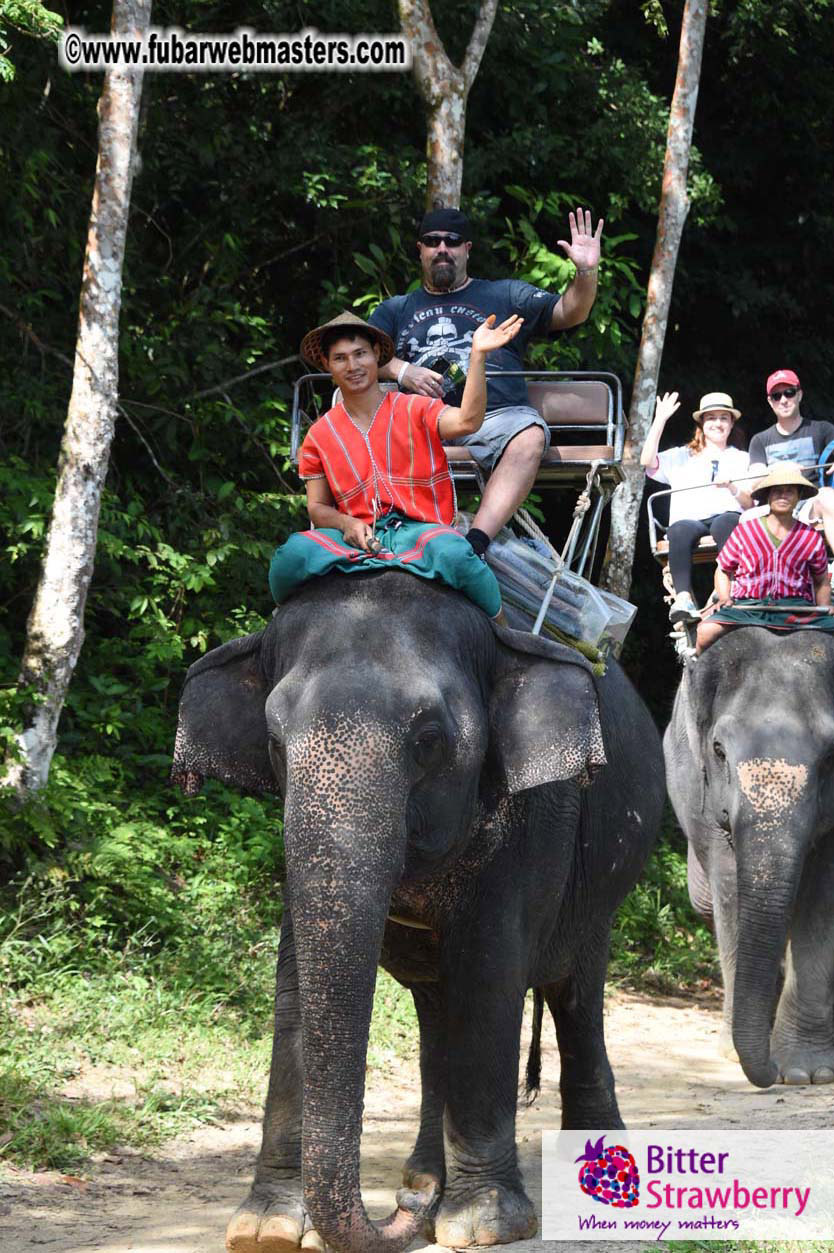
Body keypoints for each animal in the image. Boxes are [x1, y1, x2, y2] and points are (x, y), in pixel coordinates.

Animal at [171, 570, 664, 1252]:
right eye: (273, 742)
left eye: (429, 740)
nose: (405, 1208)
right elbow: (295, 987)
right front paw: (266, 1227)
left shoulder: (532, 822)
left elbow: (487, 979)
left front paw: (483, 1222)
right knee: (437, 1022)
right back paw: (425, 1174)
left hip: (603, 888)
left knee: (575, 995)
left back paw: (585, 1169)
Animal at [664, 627, 834, 1089]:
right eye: (719, 750)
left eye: (832, 757)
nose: (770, 1072)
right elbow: (730, 886)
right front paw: (743, 1059)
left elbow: (823, 901)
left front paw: (807, 1073)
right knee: (706, 904)